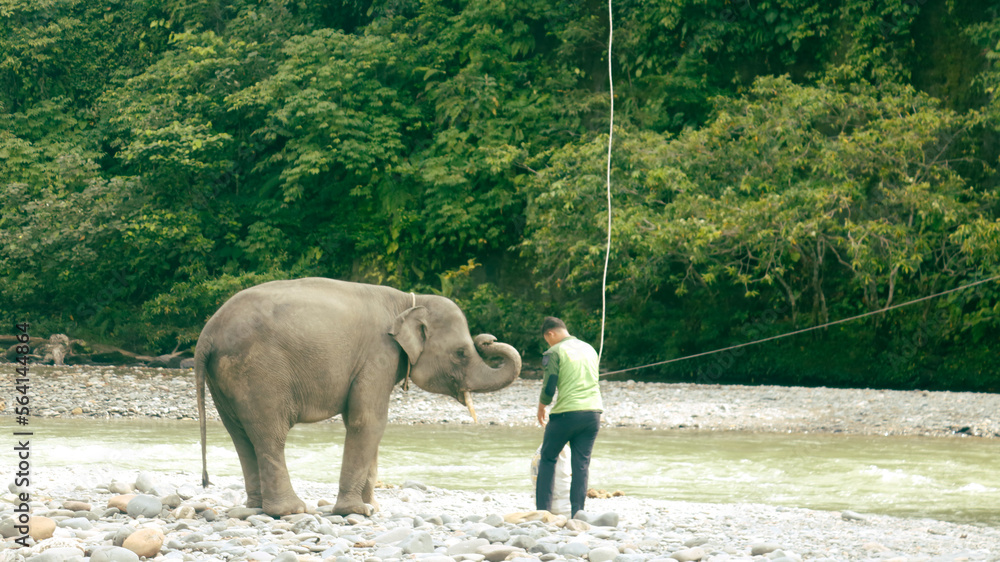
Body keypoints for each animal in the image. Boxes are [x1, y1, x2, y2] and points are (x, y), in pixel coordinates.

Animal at [195, 278, 522, 517]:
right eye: (461, 352)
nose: (488, 339)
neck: (409, 301)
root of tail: (207, 333)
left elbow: (365, 422)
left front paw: (372, 507)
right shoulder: (379, 354)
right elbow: (369, 420)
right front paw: (357, 511)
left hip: (224, 378)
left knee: (240, 435)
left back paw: (255, 508)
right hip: (258, 373)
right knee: (270, 435)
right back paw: (291, 510)